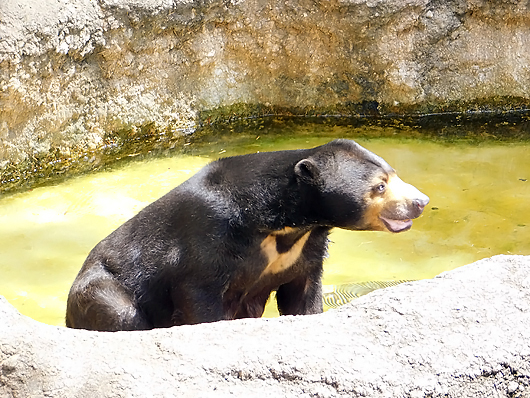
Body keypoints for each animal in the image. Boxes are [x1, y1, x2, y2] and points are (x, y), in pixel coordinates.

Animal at [67, 138, 428, 332]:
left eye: (394, 174)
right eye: (380, 186)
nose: (420, 202)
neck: (283, 224)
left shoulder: (307, 246)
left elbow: (302, 292)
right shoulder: (207, 236)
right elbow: (198, 293)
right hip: (100, 289)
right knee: (121, 313)